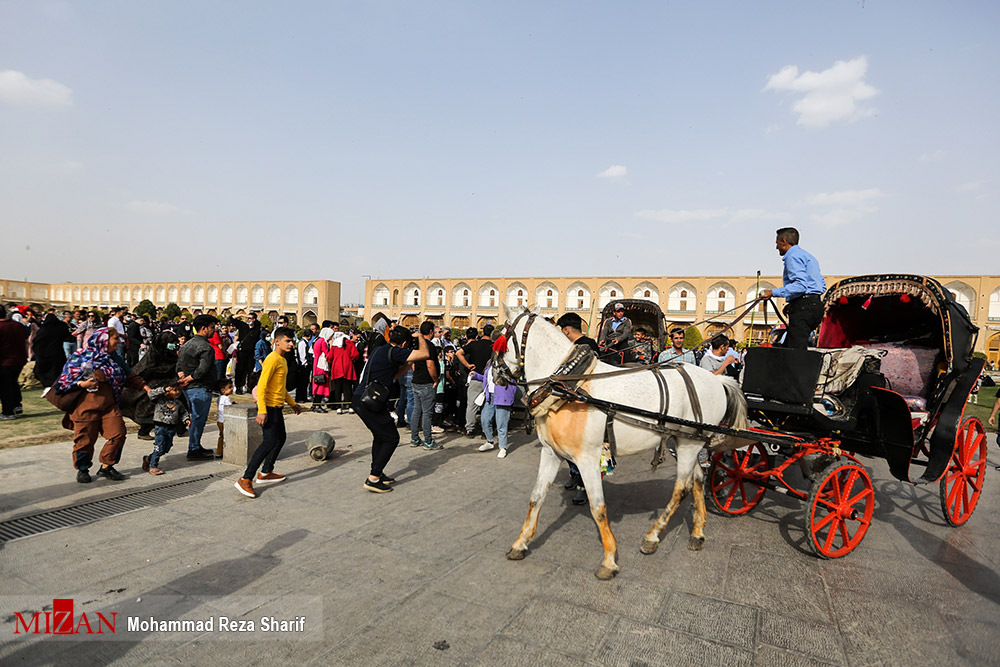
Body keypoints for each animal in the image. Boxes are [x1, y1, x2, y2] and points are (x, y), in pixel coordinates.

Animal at [496, 308, 748, 580]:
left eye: (500, 337)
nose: (493, 371)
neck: (566, 387)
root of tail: (718, 380)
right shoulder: (551, 452)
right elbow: (536, 497)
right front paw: (521, 543)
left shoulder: (587, 458)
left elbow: (598, 507)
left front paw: (609, 559)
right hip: (685, 441)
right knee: (699, 479)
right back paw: (698, 532)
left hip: (689, 444)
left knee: (682, 487)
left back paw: (652, 536)